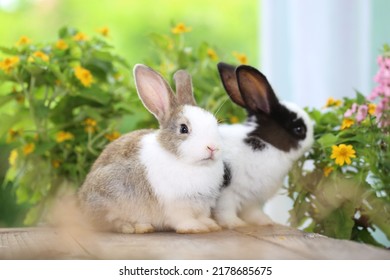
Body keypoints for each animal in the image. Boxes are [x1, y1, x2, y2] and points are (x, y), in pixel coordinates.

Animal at [77, 64, 224, 233]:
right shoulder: (176, 206)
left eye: (215, 123)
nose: (212, 147)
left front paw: (210, 225)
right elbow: (183, 219)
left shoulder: (203, 206)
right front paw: (195, 228)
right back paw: (136, 227)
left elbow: (202, 216)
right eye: (183, 129)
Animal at [213, 62, 314, 229]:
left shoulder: (252, 201)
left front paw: (265, 222)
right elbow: (225, 212)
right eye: (299, 129)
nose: (312, 141)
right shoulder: (229, 194)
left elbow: (253, 213)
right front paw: (236, 224)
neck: (268, 145)